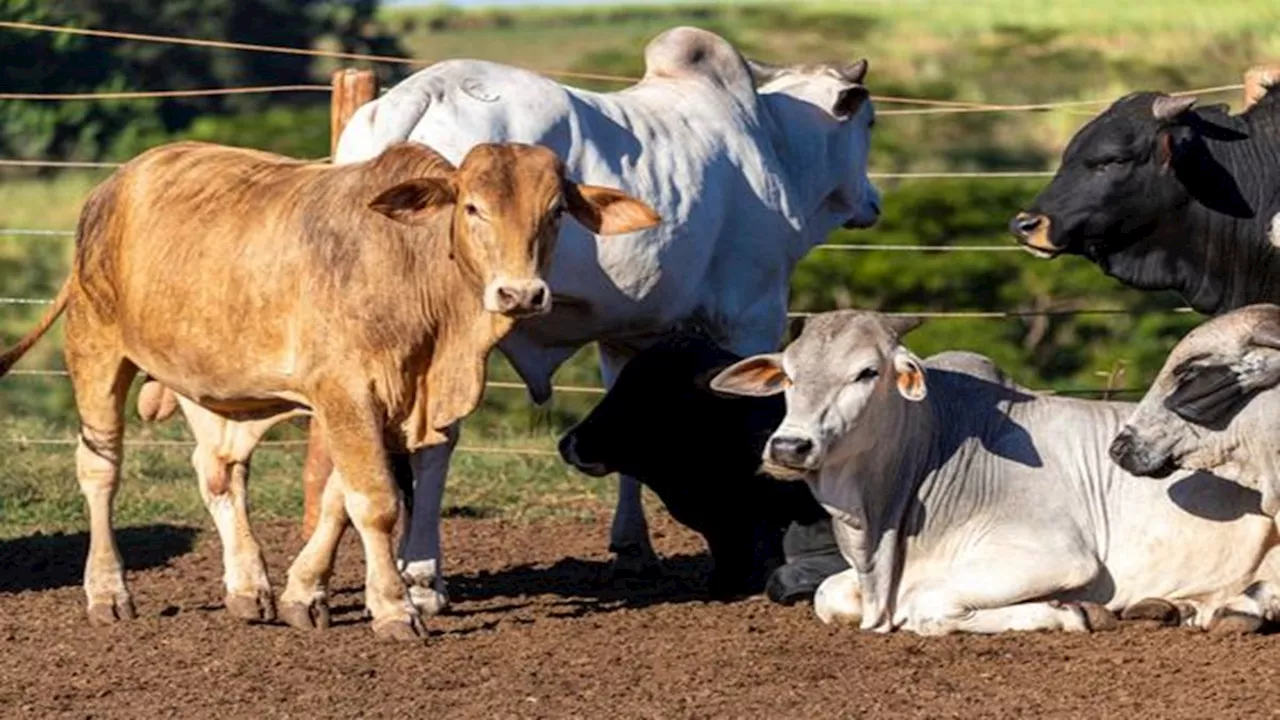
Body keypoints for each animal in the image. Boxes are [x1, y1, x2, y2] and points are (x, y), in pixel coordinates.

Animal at [0, 137, 660, 635]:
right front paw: (394, 609)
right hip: (96, 346)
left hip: (211, 383)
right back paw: (108, 591)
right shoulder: (347, 392)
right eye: (473, 207)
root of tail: (115, 184)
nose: (520, 293)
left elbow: (341, 501)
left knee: (219, 471)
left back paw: (249, 586)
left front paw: (303, 593)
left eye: (554, 212)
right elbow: (376, 502)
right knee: (100, 469)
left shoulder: (382, 401)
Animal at [711, 308, 1280, 632]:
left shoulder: (1057, 556)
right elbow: (828, 595)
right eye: (788, 375)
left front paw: (1072, 612)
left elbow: (926, 605)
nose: (789, 446)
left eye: (866, 372)